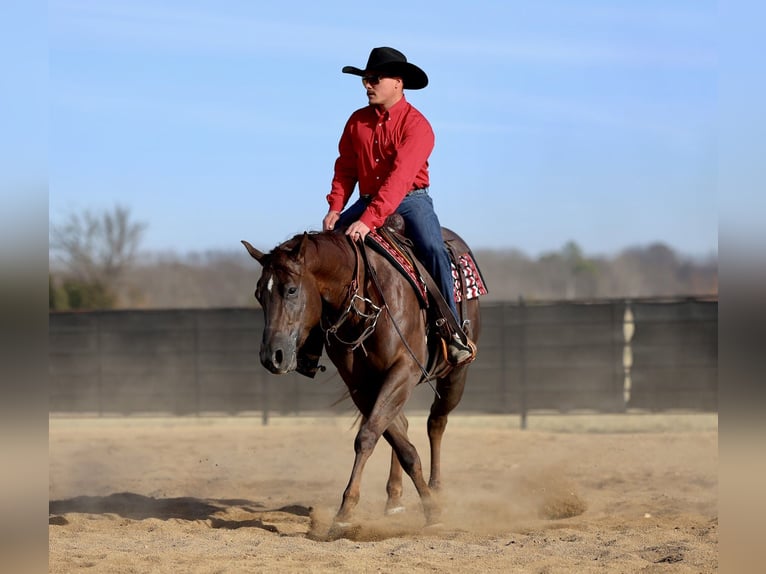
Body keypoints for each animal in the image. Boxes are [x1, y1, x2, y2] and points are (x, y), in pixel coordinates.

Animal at [241, 227, 482, 532]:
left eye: (292, 289)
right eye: (259, 294)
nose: (272, 356)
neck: (363, 301)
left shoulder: (404, 369)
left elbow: (368, 436)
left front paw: (348, 511)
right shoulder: (360, 385)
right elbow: (397, 442)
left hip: (455, 375)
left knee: (436, 423)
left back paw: (436, 489)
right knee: (404, 424)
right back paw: (394, 499)